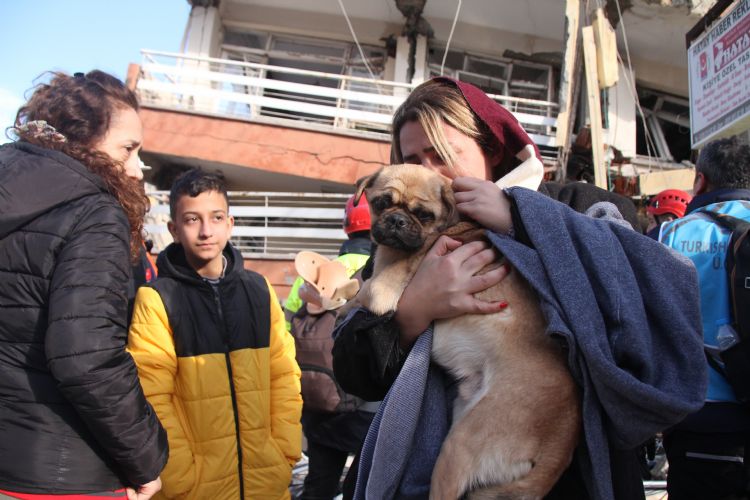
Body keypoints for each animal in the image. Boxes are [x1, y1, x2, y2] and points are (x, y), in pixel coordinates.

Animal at [352, 163, 580, 496]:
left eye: (424, 215)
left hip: (456, 450)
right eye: (381, 203)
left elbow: (359, 293)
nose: (396, 220)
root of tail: (558, 450)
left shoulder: (381, 291)